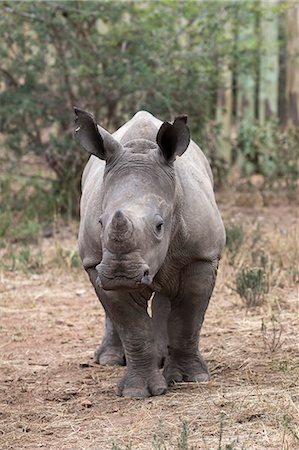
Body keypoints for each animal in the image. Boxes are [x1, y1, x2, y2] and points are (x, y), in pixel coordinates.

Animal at [74, 108, 225, 398]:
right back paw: (110, 360)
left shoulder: (202, 255)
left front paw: (190, 378)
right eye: (100, 222)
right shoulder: (96, 262)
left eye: (159, 226)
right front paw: (138, 392)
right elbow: (132, 327)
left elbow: (188, 318)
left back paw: (163, 357)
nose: (121, 273)